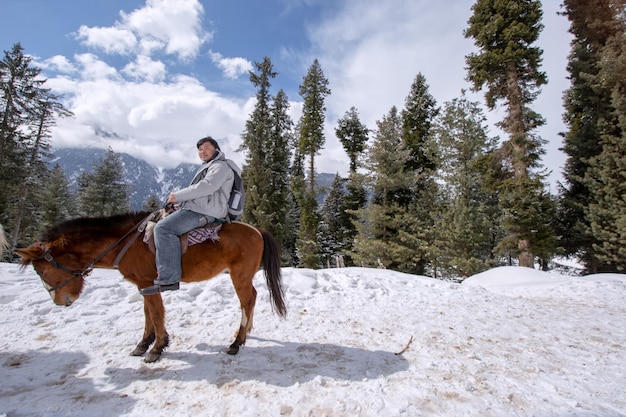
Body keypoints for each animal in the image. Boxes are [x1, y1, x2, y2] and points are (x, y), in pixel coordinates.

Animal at [14, 211, 286, 360]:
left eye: (40, 270)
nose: (60, 301)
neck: (125, 243)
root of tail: (257, 230)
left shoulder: (148, 283)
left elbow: (155, 314)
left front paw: (157, 348)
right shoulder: (143, 284)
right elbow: (147, 314)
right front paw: (144, 344)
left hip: (239, 275)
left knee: (247, 300)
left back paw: (237, 342)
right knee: (252, 297)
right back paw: (246, 332)